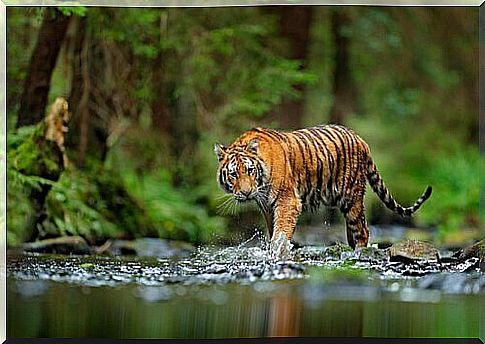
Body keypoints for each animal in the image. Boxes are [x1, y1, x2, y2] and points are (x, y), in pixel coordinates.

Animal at [216, 125, 432, 249]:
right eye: (234, 174)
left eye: (250, 170)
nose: (246, 192)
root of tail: (361, 139)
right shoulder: (267, 207)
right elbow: (273, 230)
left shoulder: (288, 201)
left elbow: (281, 232)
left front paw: (278, 252)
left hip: (351, 197)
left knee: (363, 231)